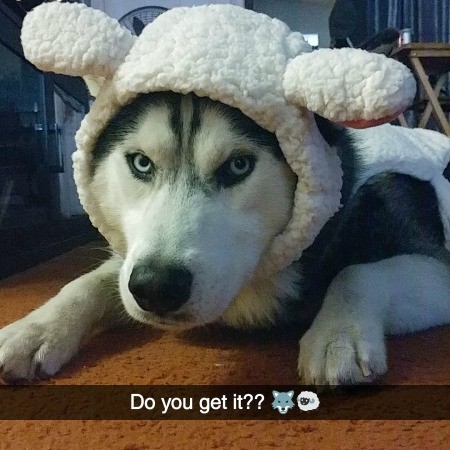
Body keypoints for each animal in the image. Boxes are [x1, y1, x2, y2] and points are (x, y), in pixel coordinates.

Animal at [0, 90, 450, 384]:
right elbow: (91, 282)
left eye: (238, 166)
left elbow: (357, 273)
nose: (157, 286)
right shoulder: (135, 262)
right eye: (141, 163)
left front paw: (339, 333)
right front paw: (35, 329)